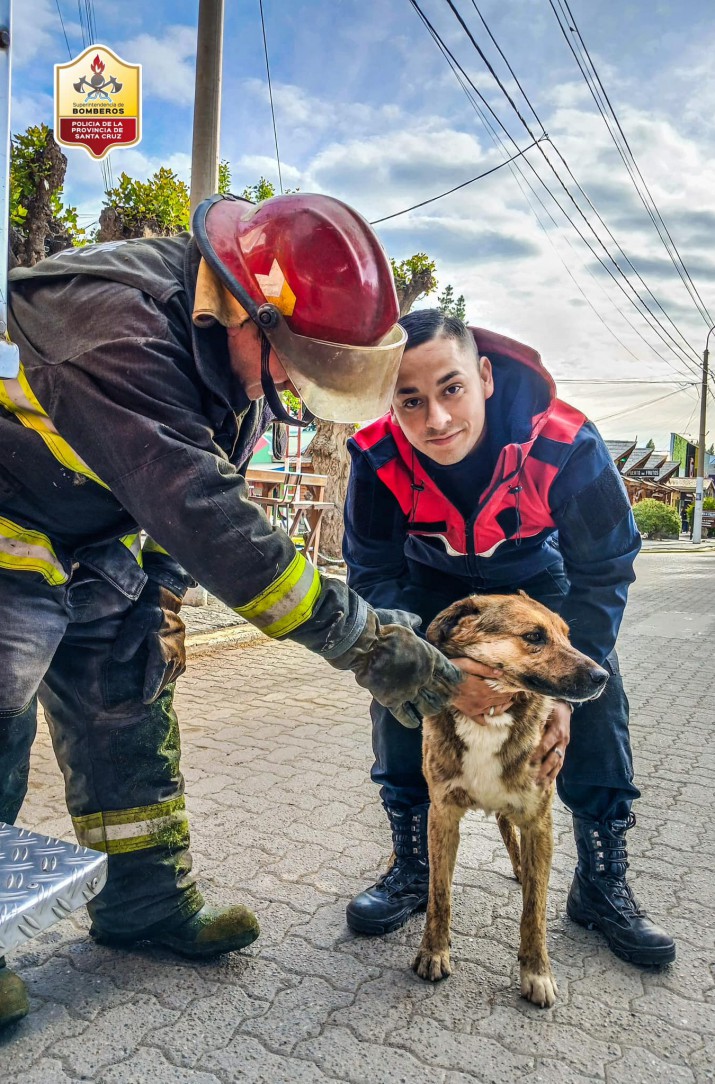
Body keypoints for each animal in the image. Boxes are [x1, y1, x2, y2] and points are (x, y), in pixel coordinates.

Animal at [409, 594, 606, 1005]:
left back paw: (521, 868)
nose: (602, 677)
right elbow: (439, 895)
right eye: (534, 636)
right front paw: (434, 951)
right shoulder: (442, 814)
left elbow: (535, 908)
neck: (492, 713)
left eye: (567, 635)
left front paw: (537, 972)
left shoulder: (538, 820)